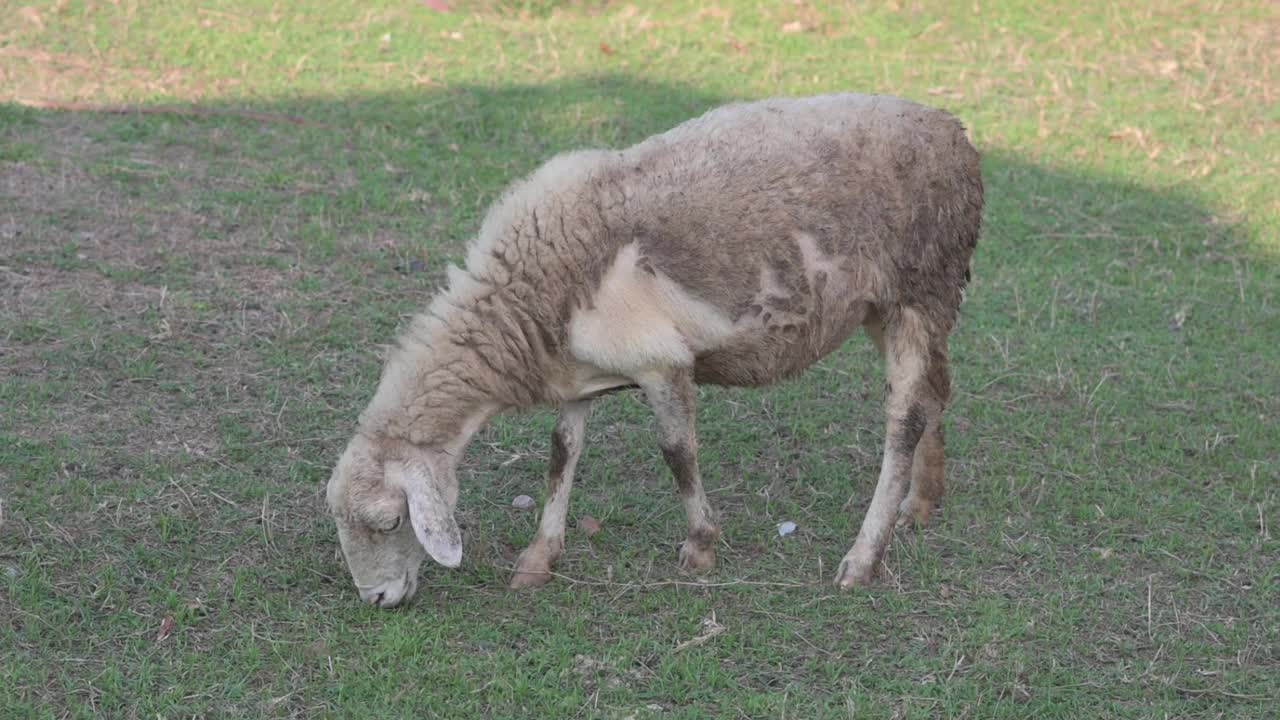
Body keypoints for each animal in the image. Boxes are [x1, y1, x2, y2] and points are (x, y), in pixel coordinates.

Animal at [325, 90, 983, 604]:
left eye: (389, 521)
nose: (377, 598)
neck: (527, 298)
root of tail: (953, 130)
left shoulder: (660, 360)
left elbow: (676, 453)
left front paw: (700, 549)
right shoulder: (577, 371)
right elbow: (561, 454)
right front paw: (539, 558)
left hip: (922, 287)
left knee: (903, 418)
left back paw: (864, 556)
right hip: (889, 307)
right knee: (933, 392)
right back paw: (921, 503)